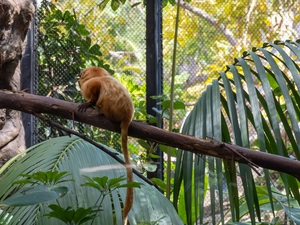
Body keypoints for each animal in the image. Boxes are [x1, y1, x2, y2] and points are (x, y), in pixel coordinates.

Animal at [78, 66, 134, 224]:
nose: (79, 78)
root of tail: (127, 117)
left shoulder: (91, 84)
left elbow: (96, 89)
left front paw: (90, 103)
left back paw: (101, 111)